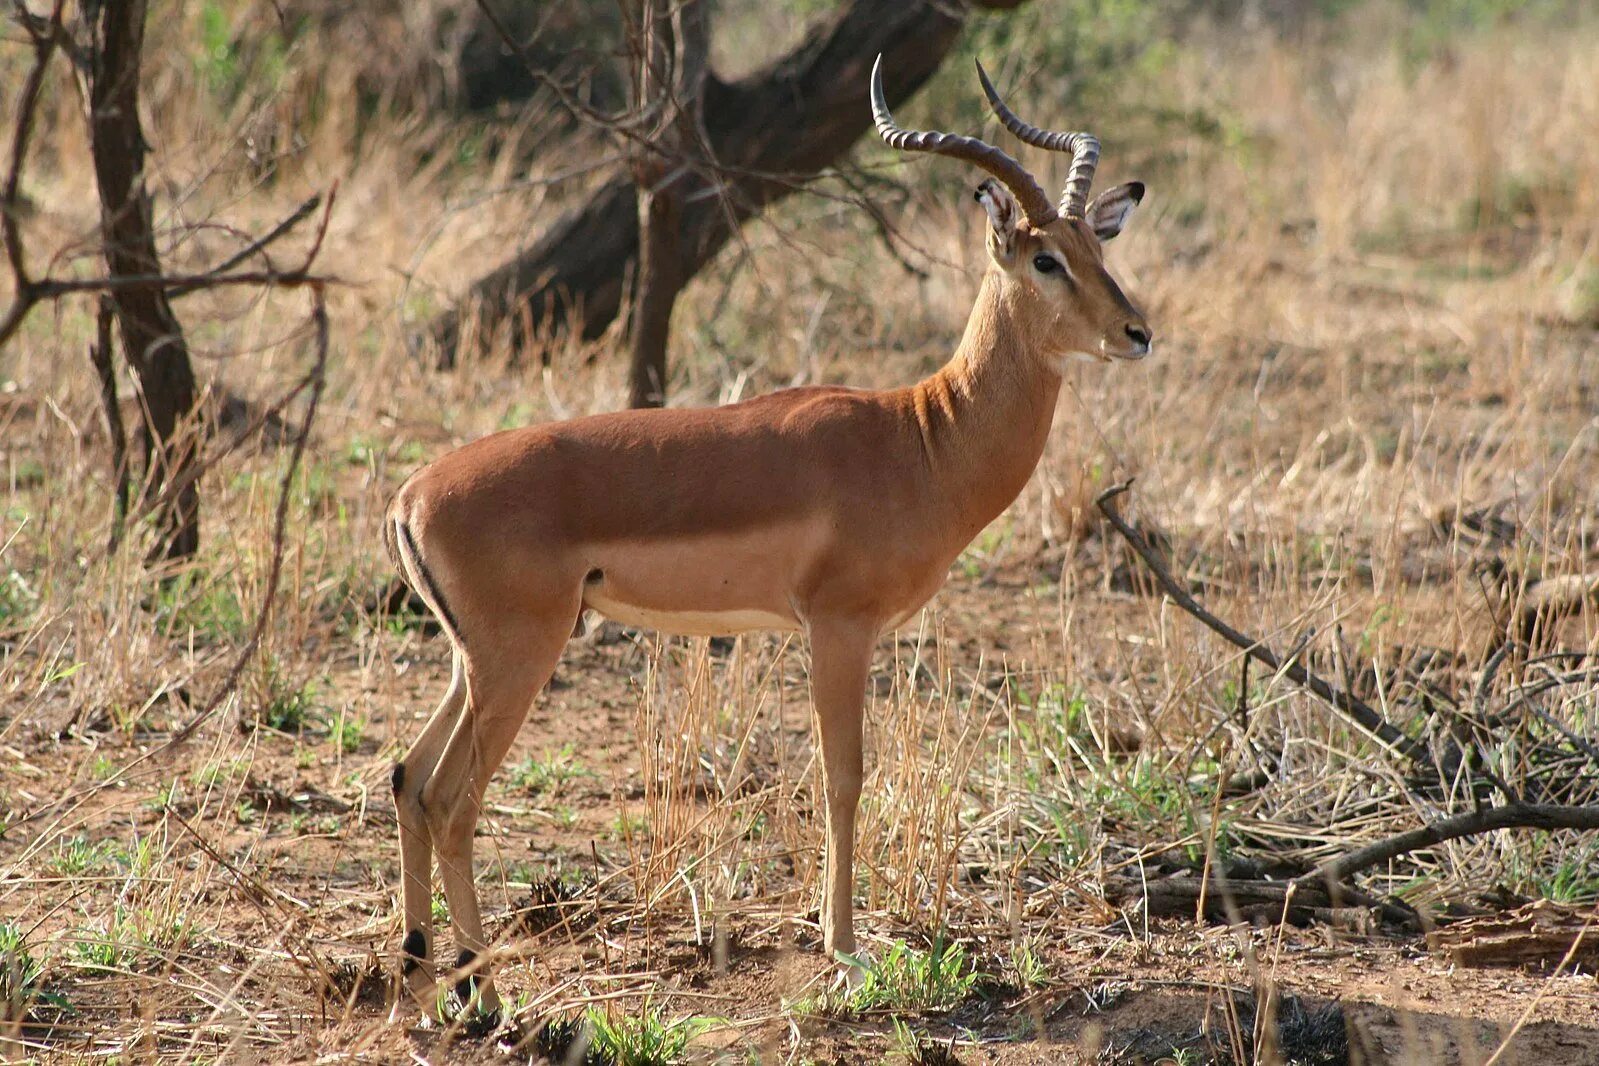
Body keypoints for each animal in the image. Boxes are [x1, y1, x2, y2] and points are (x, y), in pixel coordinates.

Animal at [390, 58, 1151, 1022]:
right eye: (1045, 259)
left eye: (1099, 250)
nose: (1136, 332)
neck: (922, 437)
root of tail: (411, 495)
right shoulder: (838, 627)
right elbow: (842, 778)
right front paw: (847, 953)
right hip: (517, 659)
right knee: (452, 798)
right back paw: (485, 995)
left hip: (472, 663)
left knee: (408, 780)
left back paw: (422, 980)